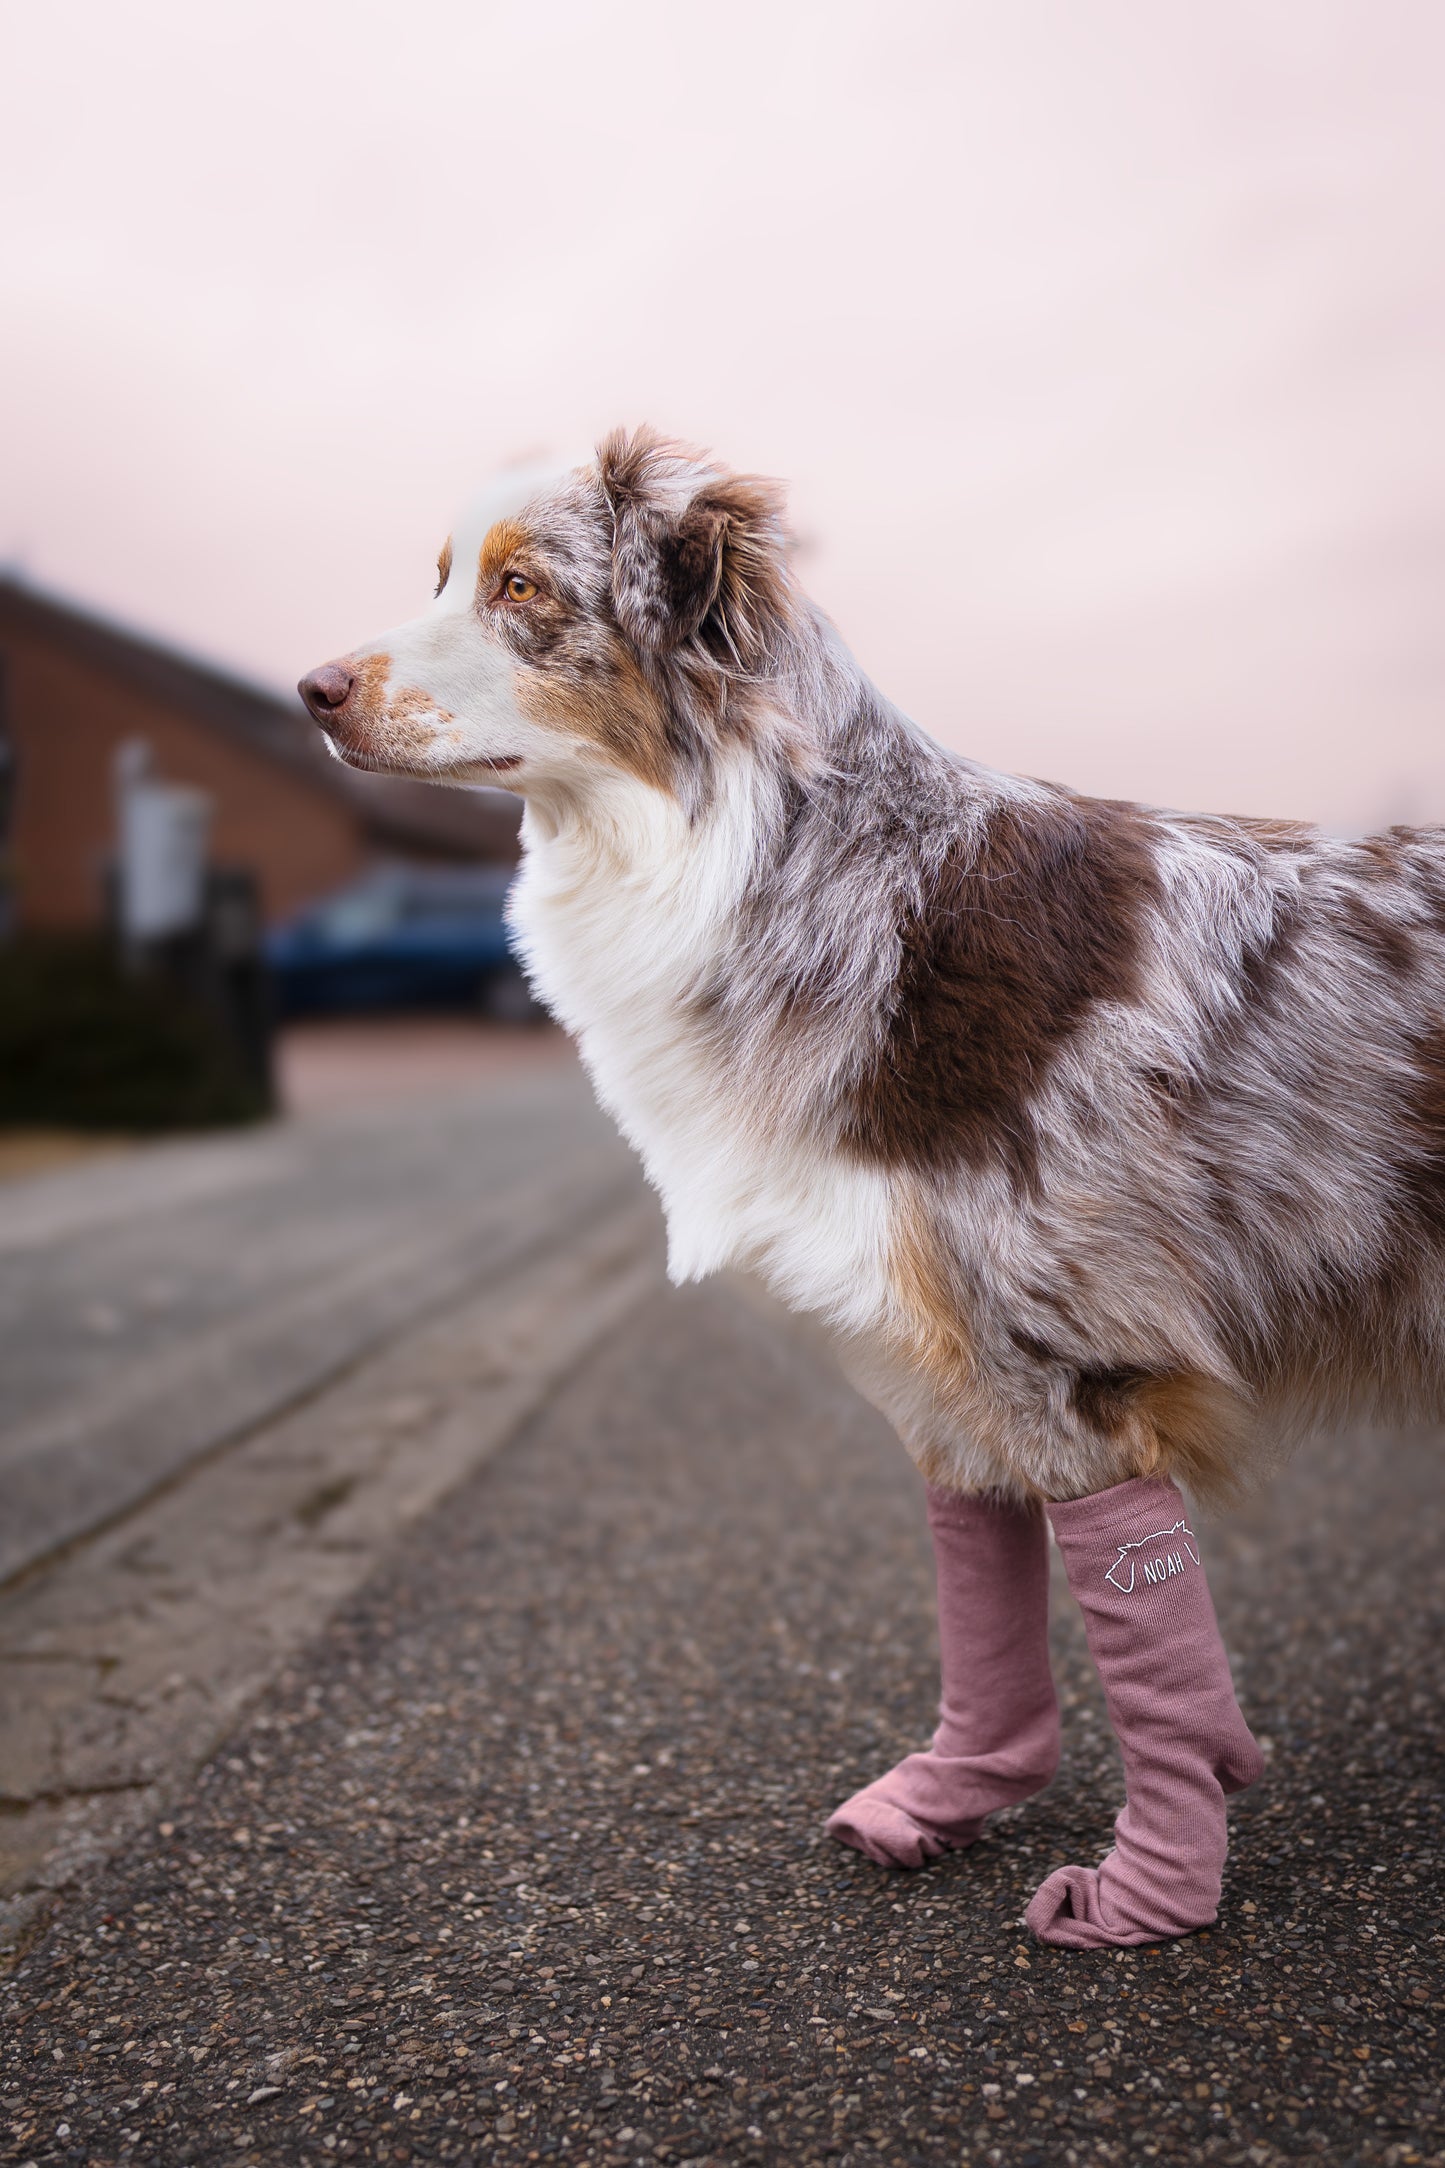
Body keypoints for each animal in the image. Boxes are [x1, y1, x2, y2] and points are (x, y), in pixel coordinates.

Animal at [298, 427, 1438, 1951]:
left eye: (522, 587)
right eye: (436, 577)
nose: (308, 689)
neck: (775, 862)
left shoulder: (1074, 1350)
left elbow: (1147, 1635)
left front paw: (1154, 1888)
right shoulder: (942, 1353)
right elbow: (986, 1582)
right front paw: (959, 1791)